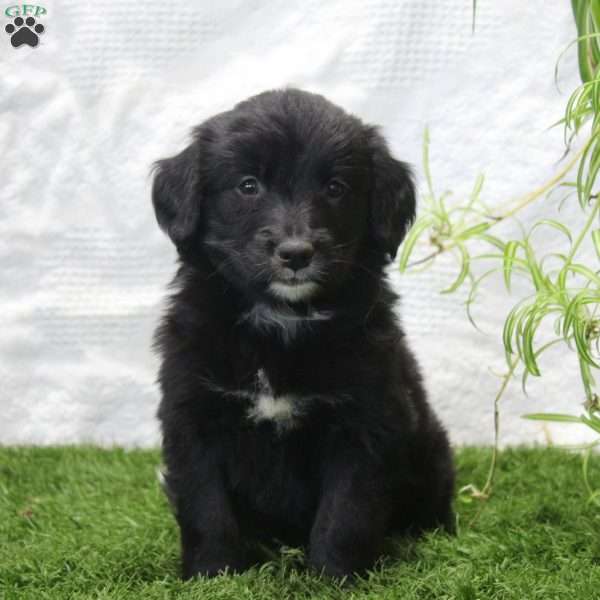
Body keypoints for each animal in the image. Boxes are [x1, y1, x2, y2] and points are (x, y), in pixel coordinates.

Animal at [151, 86, 454, 580]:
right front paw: (211, 574)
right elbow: (205, 506)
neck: (283, 321)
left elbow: (346, 511)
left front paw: (336, 577)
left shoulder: (365, 421)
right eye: (248, 185)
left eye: (335, 188)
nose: (296, 253)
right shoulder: (191, 414)